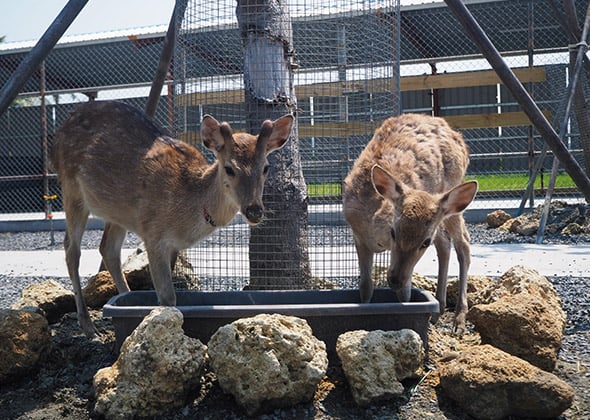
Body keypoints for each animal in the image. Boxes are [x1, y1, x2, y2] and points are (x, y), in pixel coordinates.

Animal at [51, 100, 293, 338]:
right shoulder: (153, 233)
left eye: (266, 168)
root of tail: (61, 128)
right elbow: (168, 298)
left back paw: (125, 300)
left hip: (118, 212)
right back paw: (88, 326)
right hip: (72, 189)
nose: (254, 211)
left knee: (107, 248)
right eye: (229, 169)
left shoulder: (174, 244)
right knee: (71, 250)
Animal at [343, 113, 478, 333]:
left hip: (454, 192)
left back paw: (459, 319)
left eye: (424, 242)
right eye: (394, 232)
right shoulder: (357, 234)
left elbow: (405, 297)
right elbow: (365, 287)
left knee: (463, 244)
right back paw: (438, 309)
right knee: (444, 243)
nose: (395, 280)